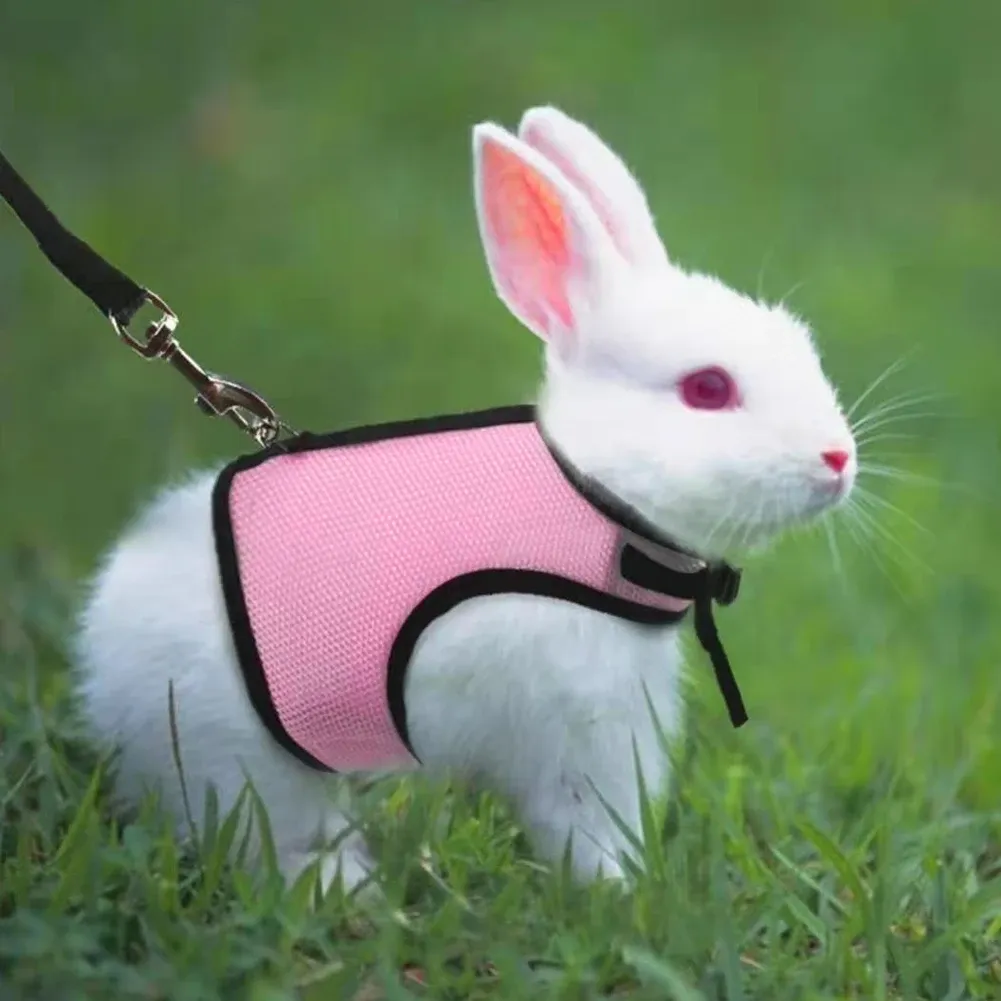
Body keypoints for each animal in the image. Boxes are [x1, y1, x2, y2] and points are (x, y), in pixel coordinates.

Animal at [73, 105, 856, 894]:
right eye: (707, 388)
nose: (839, 459)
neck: (592, 499)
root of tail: (104, 642)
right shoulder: (578, 729)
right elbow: (584, 823)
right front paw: (616, 890)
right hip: (242, 754)